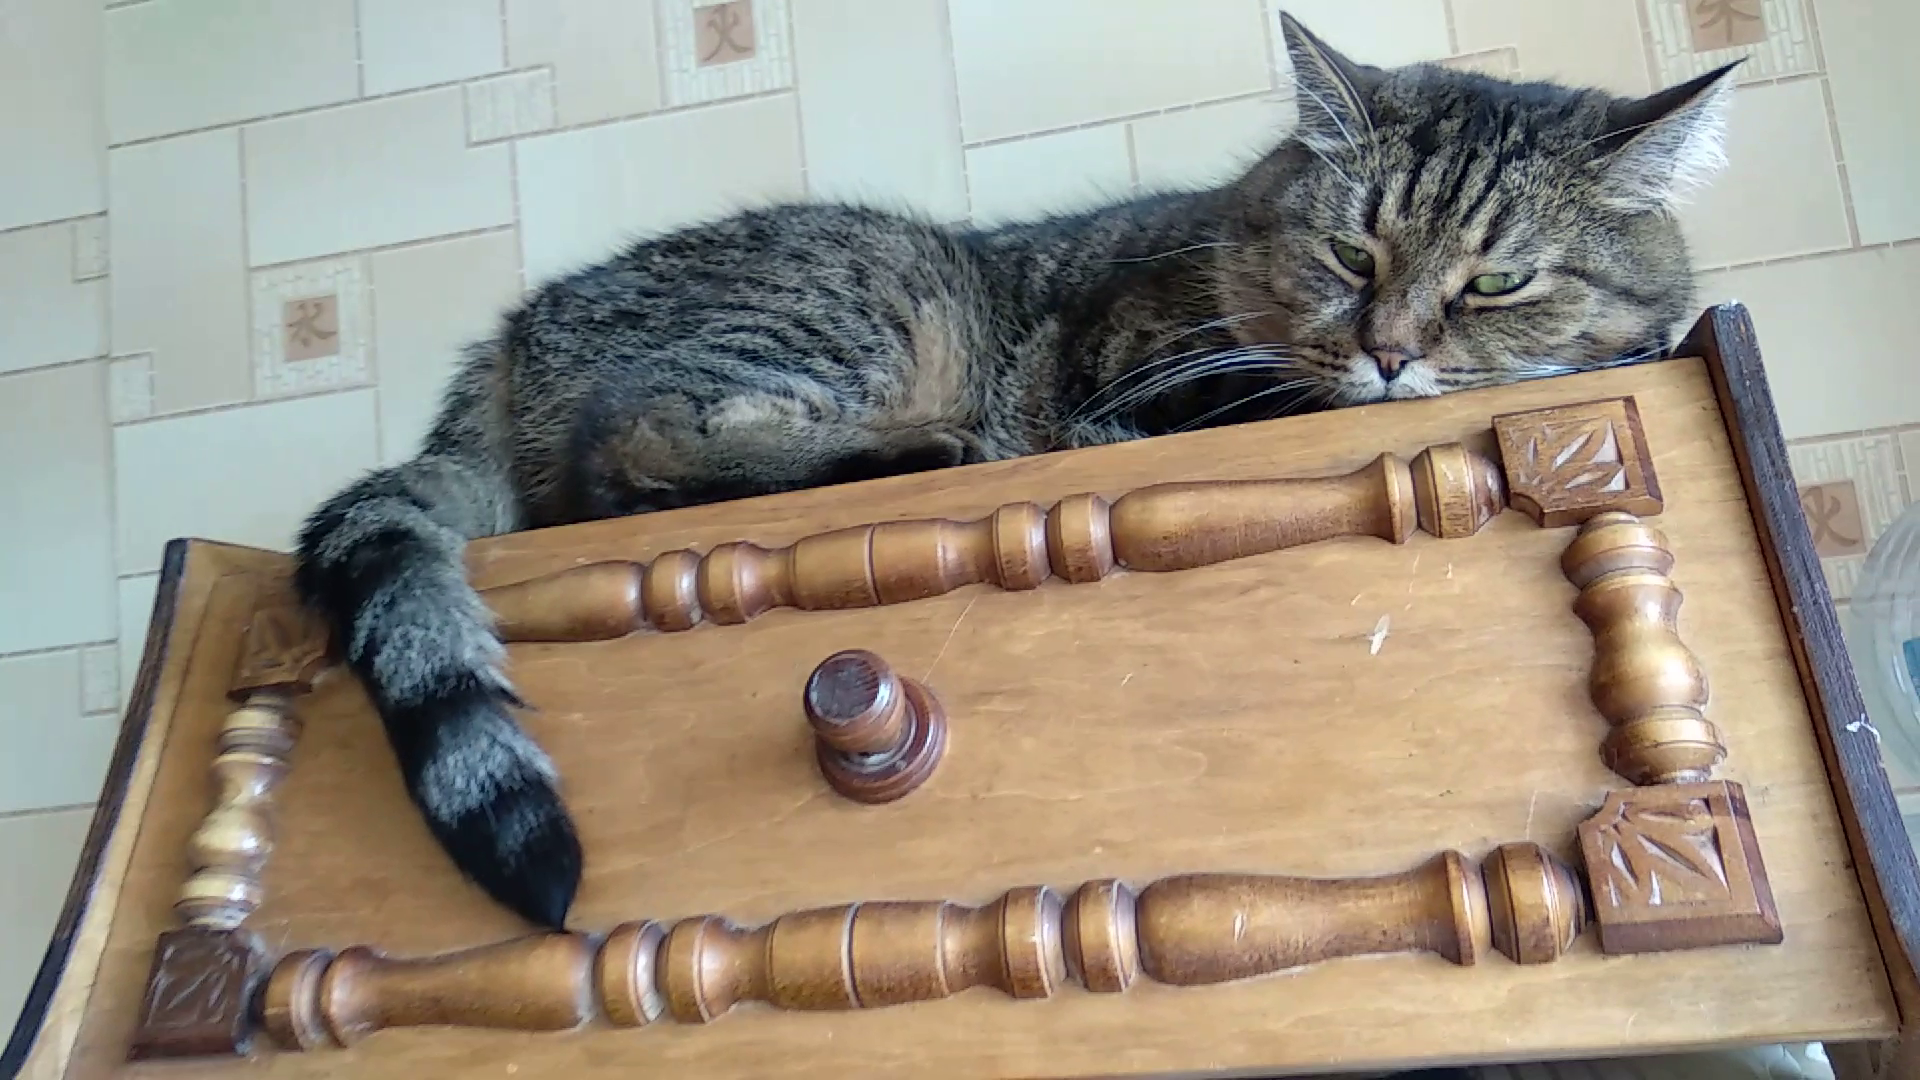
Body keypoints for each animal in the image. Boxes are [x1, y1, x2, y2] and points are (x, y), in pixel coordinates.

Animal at [291, 14, 1735, 926]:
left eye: (1495, 281)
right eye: (1352, 255)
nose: (1388, 352)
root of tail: (505, 337)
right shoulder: (1138, 385)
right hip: (876, 297)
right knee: (625, 456)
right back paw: (895, 451)